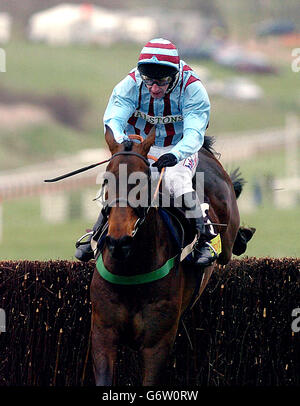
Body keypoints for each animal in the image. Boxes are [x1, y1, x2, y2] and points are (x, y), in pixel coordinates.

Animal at [89, 126, 251, 384]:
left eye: (143, 180)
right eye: (106, 180)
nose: (119, 241)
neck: (132, 269)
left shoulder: (156, 343)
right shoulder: (103, 333)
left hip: (227, 231)